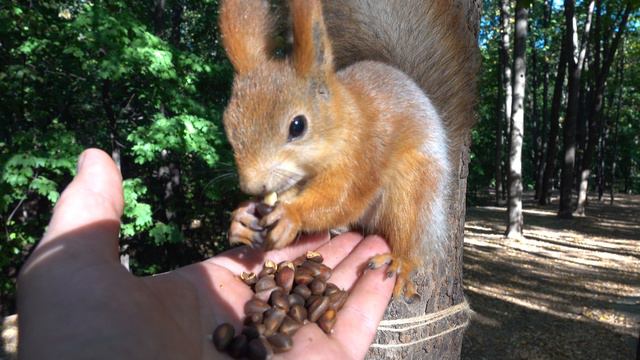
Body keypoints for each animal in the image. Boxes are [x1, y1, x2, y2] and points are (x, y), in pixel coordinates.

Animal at [218, 0, 478, 300]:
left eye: (297, 125)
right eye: (228, 125)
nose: (250, 185)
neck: (346, 121)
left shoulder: (364, 154)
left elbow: (342, 199)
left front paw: (290, 215)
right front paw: (241, 217)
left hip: (414, 186)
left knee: (411, 232)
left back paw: (400, 261)